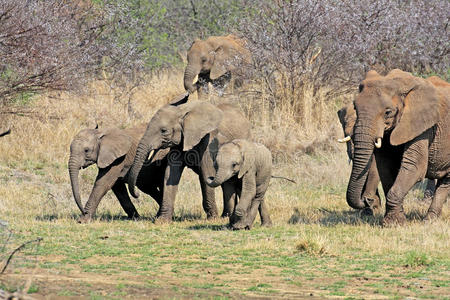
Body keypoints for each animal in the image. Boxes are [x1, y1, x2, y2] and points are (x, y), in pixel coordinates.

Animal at [128, 94, 251, 223]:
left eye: (164, 131)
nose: (137, 194)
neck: (182, 112)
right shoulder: (179, 142)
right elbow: (170, 174)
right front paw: (162, 221)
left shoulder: (208, 140)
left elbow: (206, 173)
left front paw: (212, 219)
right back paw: (226, 216)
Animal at [346, 69, 448, 225]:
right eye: (355, 108)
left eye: (388, 112)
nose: (367, 200)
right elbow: (385, 166)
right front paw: (393, 221)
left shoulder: (423, 126)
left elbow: (415, 166)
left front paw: (393, 223)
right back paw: (430, 221)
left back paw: (428, 221)